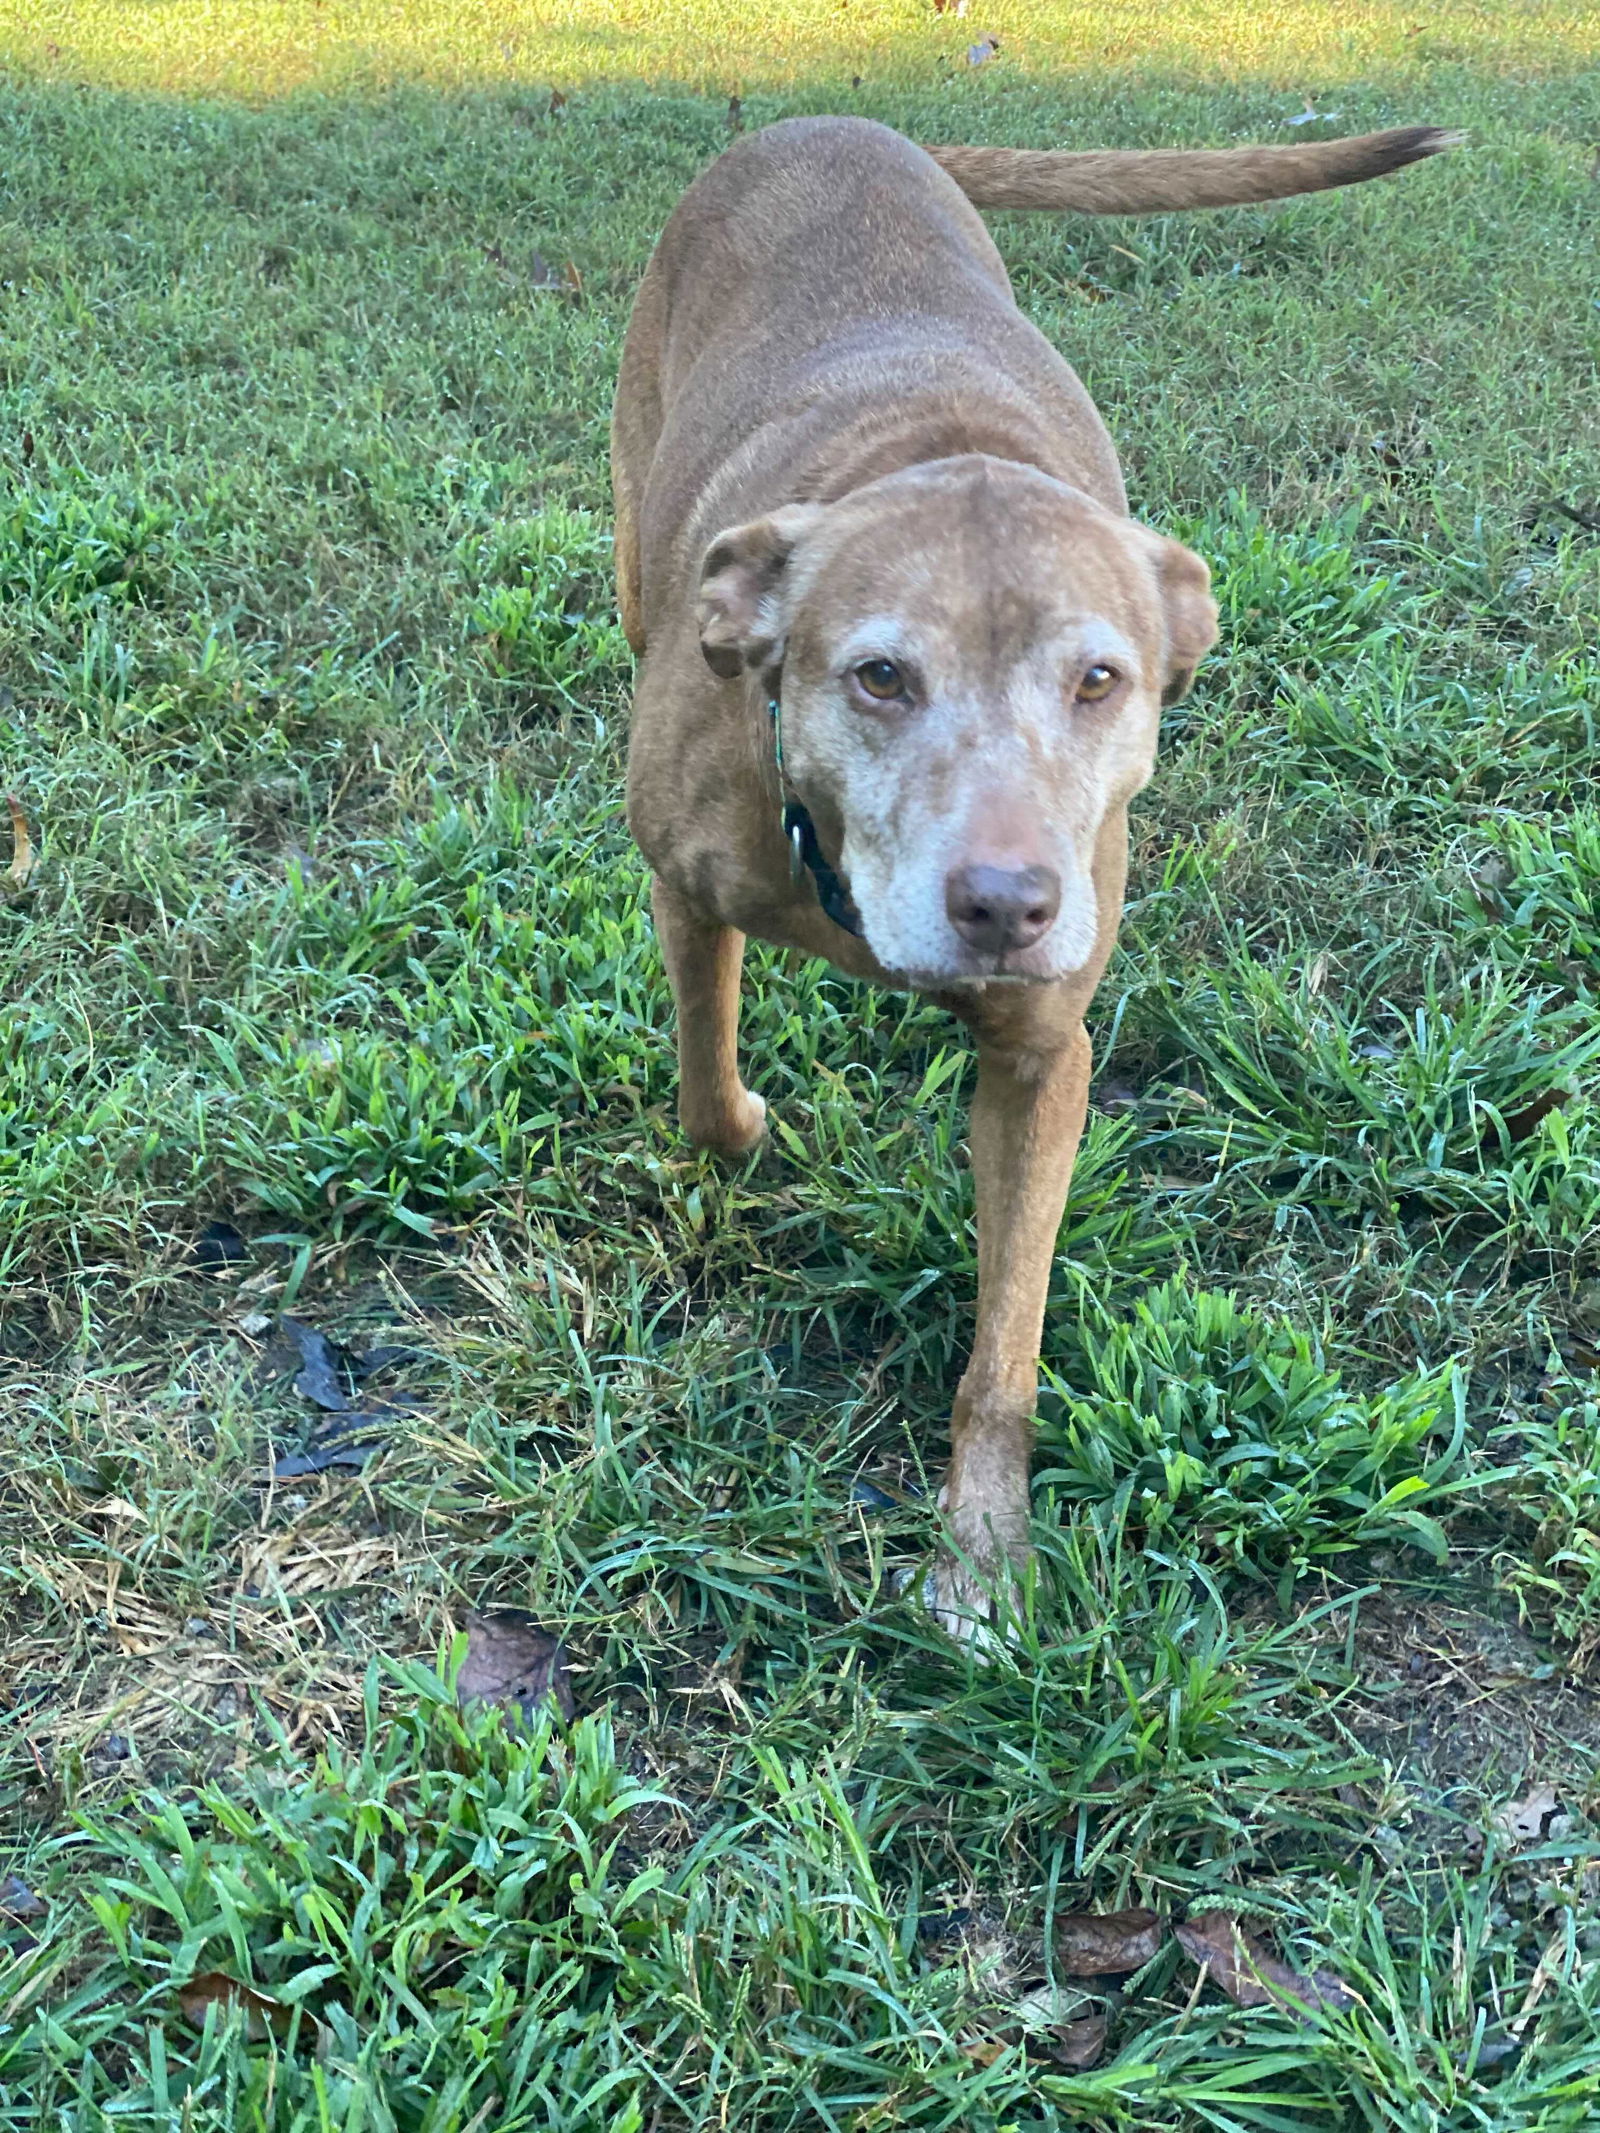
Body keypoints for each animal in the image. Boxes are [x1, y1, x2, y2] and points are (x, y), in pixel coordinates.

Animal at [605, 116, 1459, 1638]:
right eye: (880, 676)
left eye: (1099, 681)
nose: (1006, 905)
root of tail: (841, 119)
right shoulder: (688, 887)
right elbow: (706, 1085)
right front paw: (744, 1126)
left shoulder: (1041, 1058)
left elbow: (1007, 1341)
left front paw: (985, 1552)